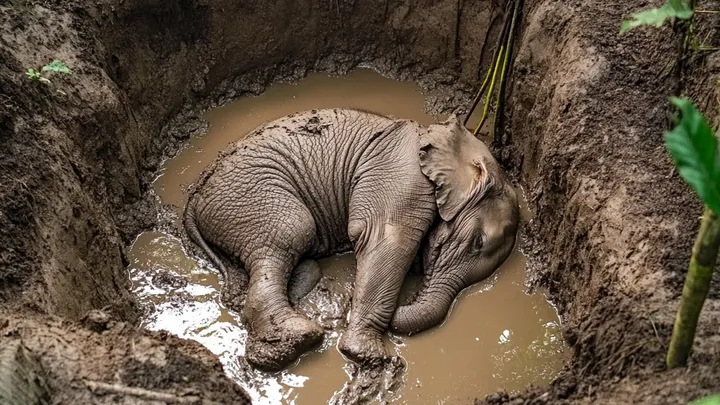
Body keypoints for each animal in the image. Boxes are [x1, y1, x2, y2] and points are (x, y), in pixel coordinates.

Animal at [183, 108, 519, 372]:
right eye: (477, 242)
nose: (402, 306)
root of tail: (192, 202)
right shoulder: (404, 178)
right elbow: (386, 241)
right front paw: (367, 356)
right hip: (253, 197)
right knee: (292, 232)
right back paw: (298, 341)